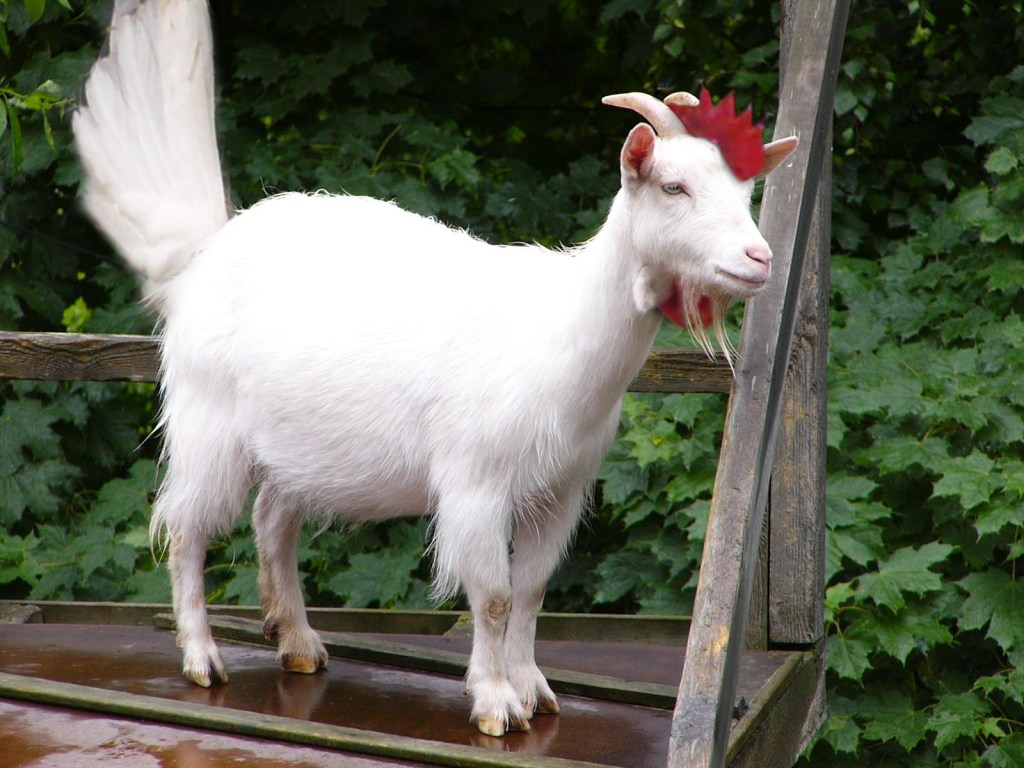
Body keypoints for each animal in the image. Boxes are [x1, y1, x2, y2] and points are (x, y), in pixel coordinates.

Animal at [73, 0, 797, 736]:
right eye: (674, 185)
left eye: (747, 190)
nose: (760, 258)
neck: (561, 332)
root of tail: (202, 256)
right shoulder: (475, 485)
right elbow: (495, 595)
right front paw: (496, 702)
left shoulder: (561, 490)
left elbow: (532, 590)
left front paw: (533, 687)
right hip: (208, 424)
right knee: (185, 528)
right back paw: (201, 657)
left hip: (296, 446)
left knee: (273, 521)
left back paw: (298, 642)